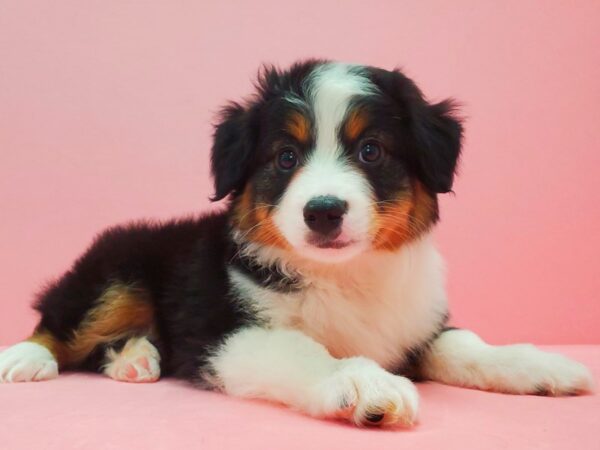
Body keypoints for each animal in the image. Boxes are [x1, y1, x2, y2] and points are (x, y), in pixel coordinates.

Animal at [0, 61, 592, 428]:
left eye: (371, 150)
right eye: (286, 157)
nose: (323, 210)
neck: (345, 276)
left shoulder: (415, 322)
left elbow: (466, 344)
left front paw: (543, 367)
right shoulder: (229, 333)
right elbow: (303, 350)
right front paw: (363, 383)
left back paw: (136, 358)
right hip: (114, 272)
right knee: (60, 321)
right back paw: (26, 359)